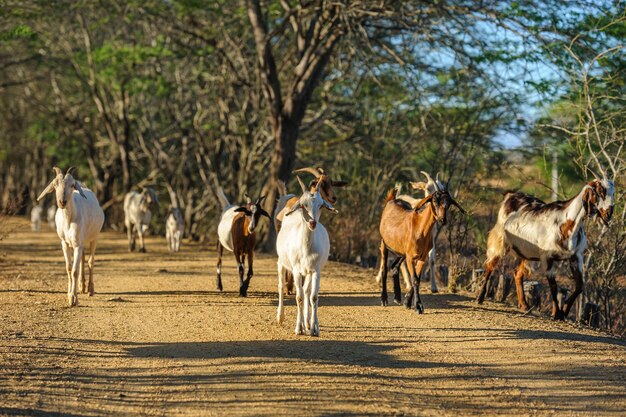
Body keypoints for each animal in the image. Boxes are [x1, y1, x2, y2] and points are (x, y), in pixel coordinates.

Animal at [36, 166, 104, 306]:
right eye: (55, 184)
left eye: (72, 185)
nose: (62, 202)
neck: (68, 220)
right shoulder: (65, 243)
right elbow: (68, 268)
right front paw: (69, 294)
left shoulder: (78, 244)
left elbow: (74, 271)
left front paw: (73, 299)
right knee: (82, 259)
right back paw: (82, 287)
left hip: (94, 237)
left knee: (91, 261)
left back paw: (90, 290)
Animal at [276, 176, 336, 334]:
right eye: (303, 205)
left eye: (321, 205)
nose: (312, 223)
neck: (306, 247)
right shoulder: (296, 270)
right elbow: (299, 297)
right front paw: (299, 328)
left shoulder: (315, 270)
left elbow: (313, 297)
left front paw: (314, 328)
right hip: (281, 262)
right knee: (281, 286)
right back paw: (280, 317)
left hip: (308, 272)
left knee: (307, 291)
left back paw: (308, 322)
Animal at [376, 182, 464, 312]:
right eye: (434, 201)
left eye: (448, 203)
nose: (442, 220)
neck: (420, 227)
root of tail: (392, 199)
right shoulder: (410, 257)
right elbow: (415, 279)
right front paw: (418, 306)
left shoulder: (421, 257)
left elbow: (417, 278)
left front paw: (407, 302)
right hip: (384, 244)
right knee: (384, 270)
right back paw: (384, 299)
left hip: (402, 251)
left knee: (394, 266)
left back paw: (397, 297)